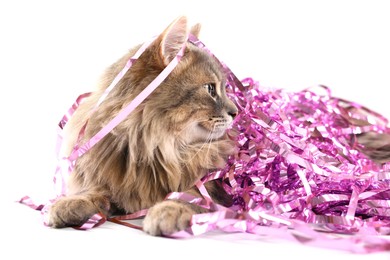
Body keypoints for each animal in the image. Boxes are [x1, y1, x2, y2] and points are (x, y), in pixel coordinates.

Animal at [47, 15, 239, 236]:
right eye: (210, 89)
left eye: (223, 88)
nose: (236, 112)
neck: (151, 147)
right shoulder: (109, 181)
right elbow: (94, 193)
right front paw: (70, 204)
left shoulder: (210, 188)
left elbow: (188, 198)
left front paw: (167, 212)